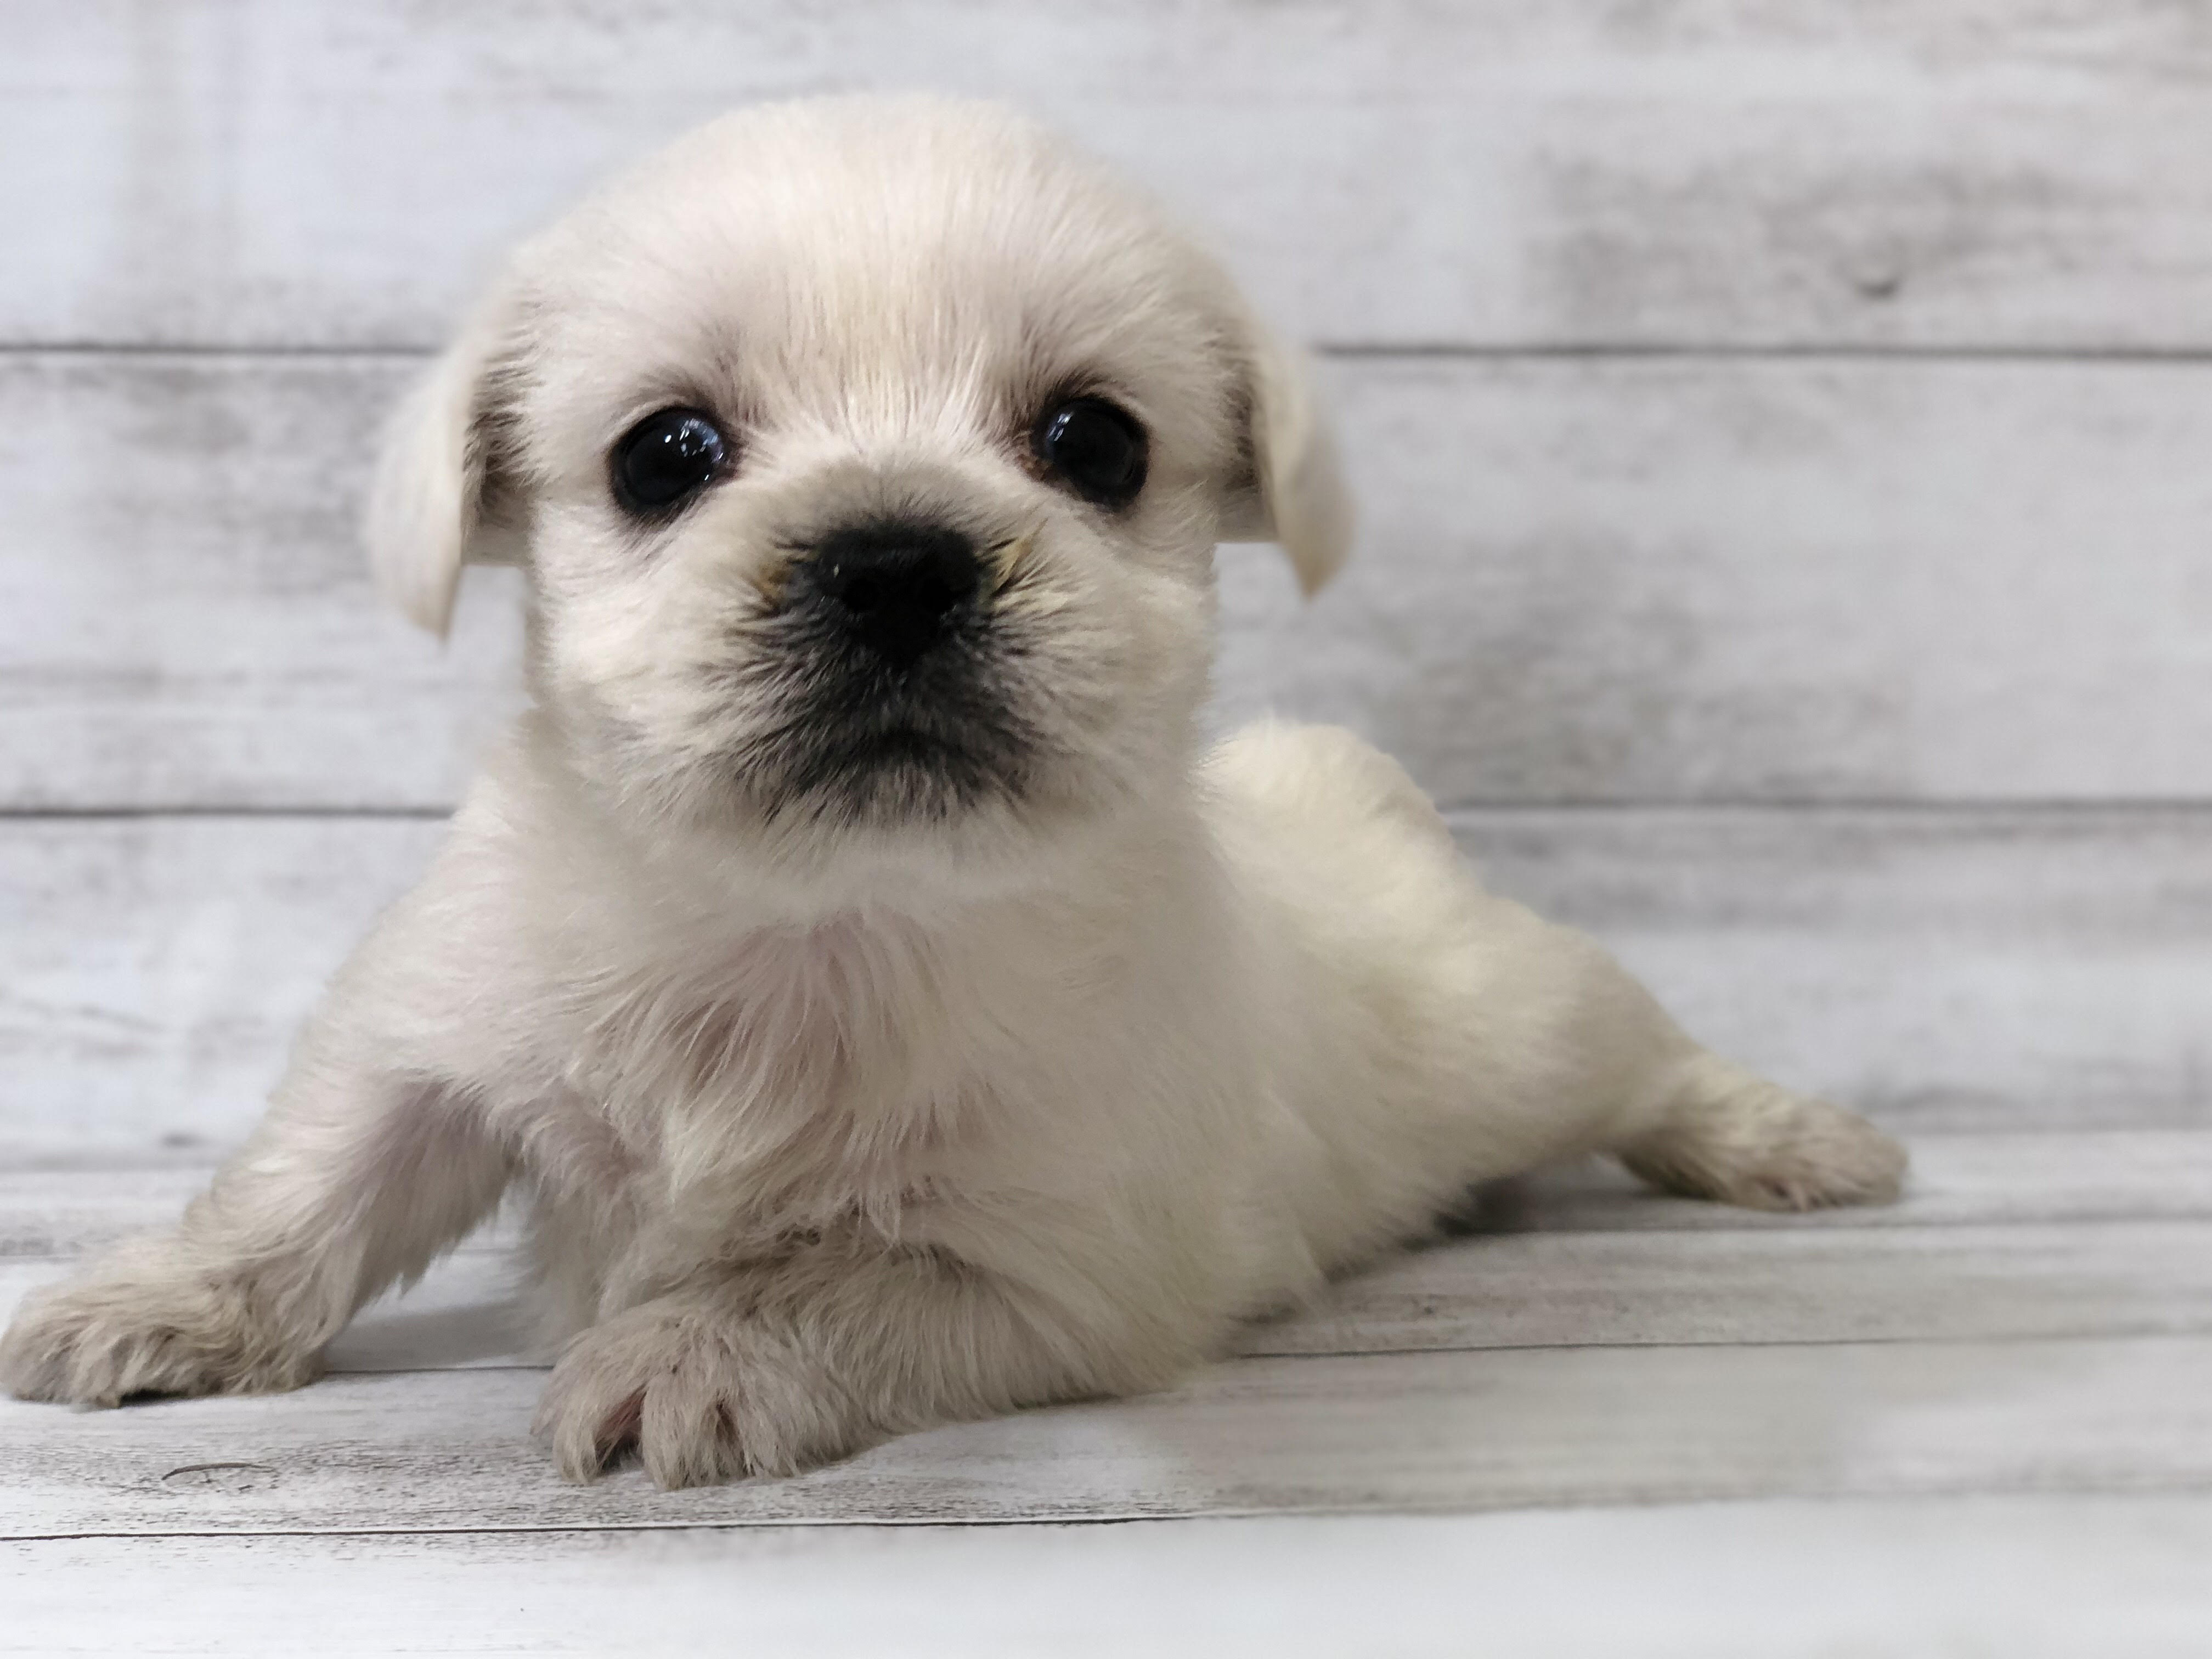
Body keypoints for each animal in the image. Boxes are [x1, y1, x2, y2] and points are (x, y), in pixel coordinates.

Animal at [0, 97, 1902, 1486]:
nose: (896, 563)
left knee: (1642, 1053)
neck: (816, 926)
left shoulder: (1041, 1262)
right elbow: (307, 1182)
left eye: (1095, 443)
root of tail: (1345, 804)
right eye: (664, 455)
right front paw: (148, 1305)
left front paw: (689, 1349)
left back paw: (1790, 1140)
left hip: (1523, 1026)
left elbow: (837, 1278)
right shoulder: (431, 1038)